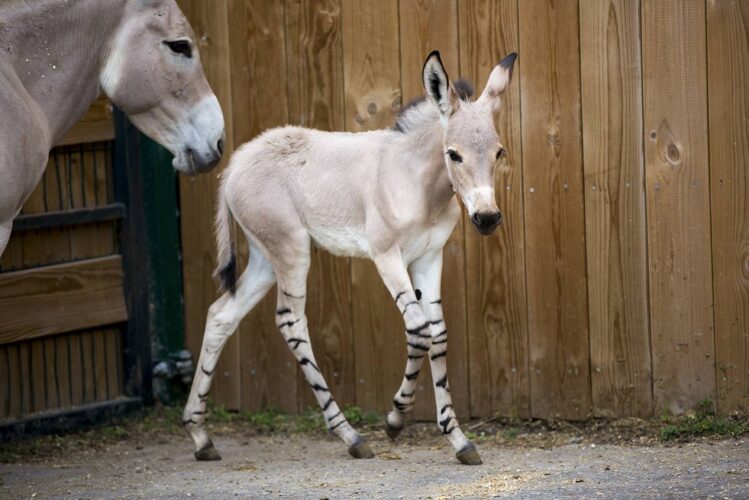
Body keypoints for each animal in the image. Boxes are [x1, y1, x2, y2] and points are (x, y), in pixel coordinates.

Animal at [184, 50, 516, 464]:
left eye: (499, 152)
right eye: (453, 155)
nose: (487, 219)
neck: (419, 184)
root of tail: (235, 163)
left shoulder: (429, 257)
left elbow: (438, 334)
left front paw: (458, 438)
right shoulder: (387, 256)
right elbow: (419, 330)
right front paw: (395, 419)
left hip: (264, 256)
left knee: (220, 316)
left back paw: (200, 435)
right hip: (291, 250)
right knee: (290, 322)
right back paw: (350, 435)